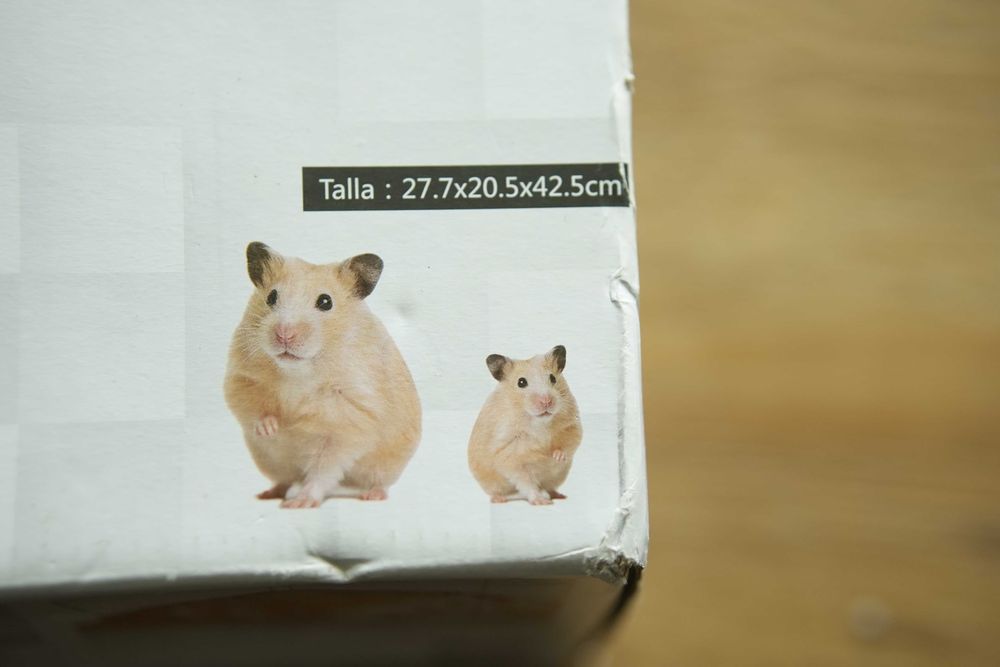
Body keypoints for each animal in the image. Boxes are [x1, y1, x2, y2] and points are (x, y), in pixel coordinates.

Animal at [224, 242, 421, 508]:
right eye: (271, 297)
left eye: (326, 302)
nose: (284, 334)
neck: (297, 372)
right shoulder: (241, 377)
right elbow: (250, 405)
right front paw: (272, 428)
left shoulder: (349, 422)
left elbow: (323, 468)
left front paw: (301, 502)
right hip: (271, 462)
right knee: (285, 479)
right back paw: (268, 494)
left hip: (385, 465)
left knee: (372, 482)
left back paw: (369, 496)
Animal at [467, 346, 582, 505]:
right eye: (521, 382)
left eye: (553, 378)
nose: (546, 401)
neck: (539, 422)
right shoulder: (510, 455)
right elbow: (526, 480)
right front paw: (540, 501)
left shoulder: (572, 426)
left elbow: (568, 443)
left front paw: (556, 456)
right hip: (492, 483)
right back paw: (501, 499)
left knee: (550, 487)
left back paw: (559, 495)